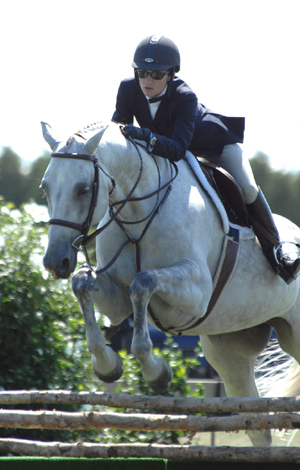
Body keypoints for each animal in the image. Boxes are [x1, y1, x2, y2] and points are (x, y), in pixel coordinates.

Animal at [40, 120, 300, 444]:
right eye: (45, 187)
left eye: (83, 189)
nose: (55, 262)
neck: (137, 213)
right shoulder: (115, 299)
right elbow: (82, 284)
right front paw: (107, 365)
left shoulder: (197, 292)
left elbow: (143, 281)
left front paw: (156, 372)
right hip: (230, 351)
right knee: (258, 428)